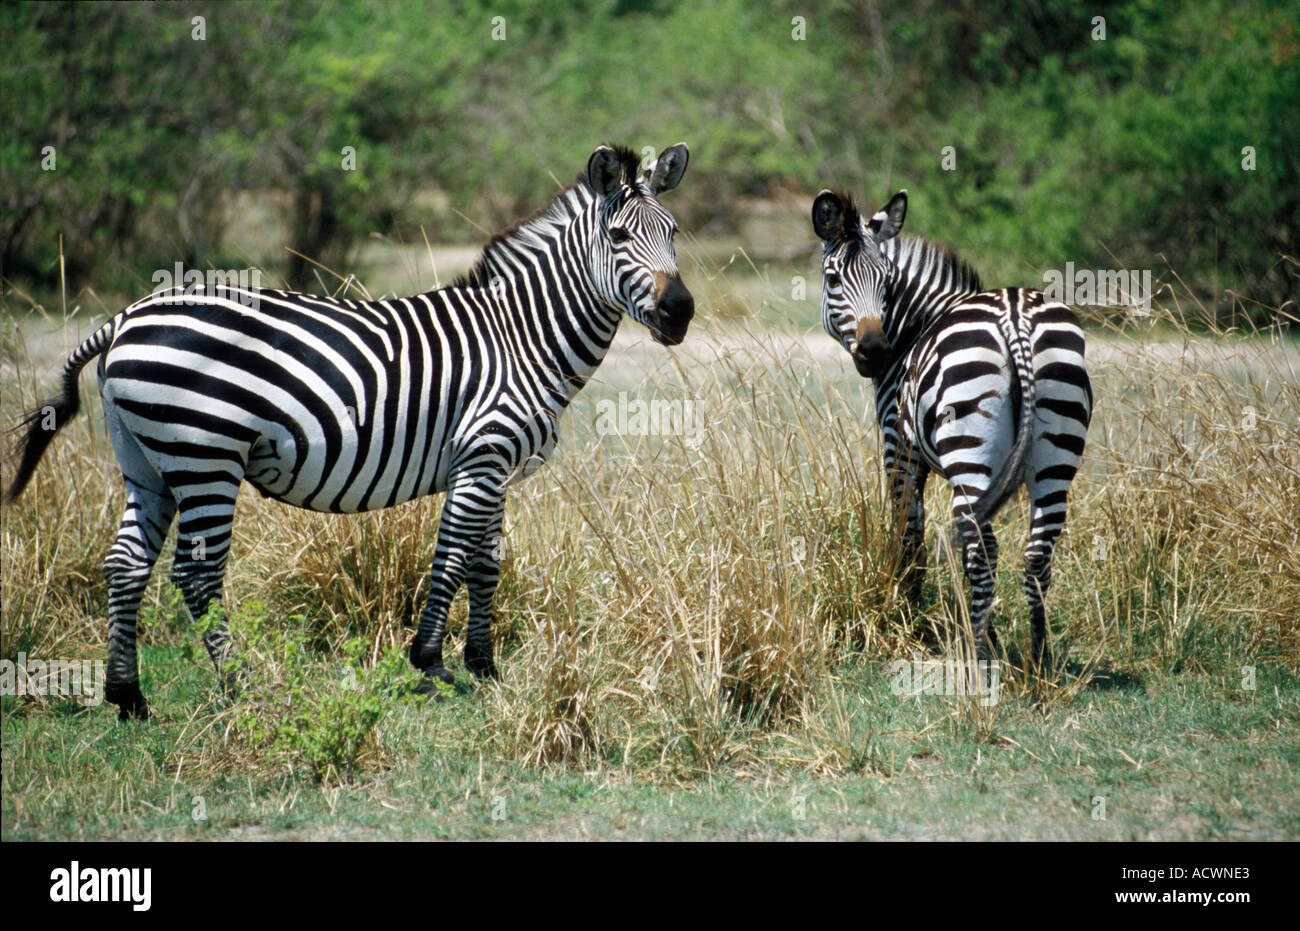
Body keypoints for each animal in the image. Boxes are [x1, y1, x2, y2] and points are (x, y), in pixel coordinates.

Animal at [5, 141, 696, 717]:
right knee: (196, 578)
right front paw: (430, 664)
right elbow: (452, 558)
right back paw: (245, 690)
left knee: (125, 565)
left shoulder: (495, 466)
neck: (520, 335)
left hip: (150, 462)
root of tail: (123, 317)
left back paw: (129, 698)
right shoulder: (480, 455)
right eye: (617, 235)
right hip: (205, 455)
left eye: (673, 233)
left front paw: (485, 667)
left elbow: (485, 565)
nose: (681, 311)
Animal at [816, 188, 1092, 665]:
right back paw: (1038, 660)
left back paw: (978, 655)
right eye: (834, 279)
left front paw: (906, 614)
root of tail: (1016, 320)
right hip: (1055, 450)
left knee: (981, 549)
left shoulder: (899, 448)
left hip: (970, 450)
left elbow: (909, 533)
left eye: (885, 281)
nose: (875, 352)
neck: (914, 326)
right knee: (1036, 553)